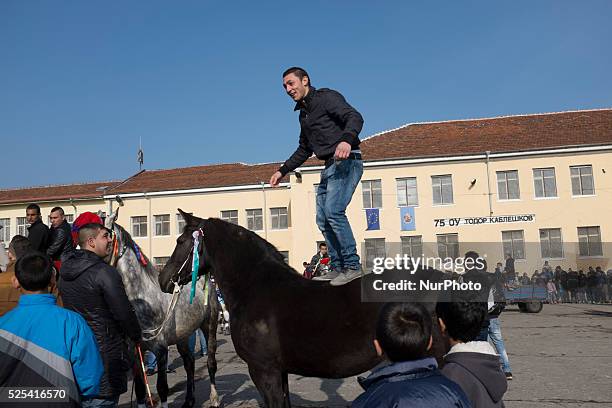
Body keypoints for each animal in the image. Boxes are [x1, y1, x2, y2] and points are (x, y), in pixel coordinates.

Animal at [104, 212, 220, 406]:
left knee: (211, 363)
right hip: (183, 336)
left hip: (209, 326)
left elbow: (162, 388)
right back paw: (189, 400)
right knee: (189, 363)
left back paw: (215, 399)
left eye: (104, 234)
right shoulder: (135, 352)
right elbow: (140, 390)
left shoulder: (161, 350)